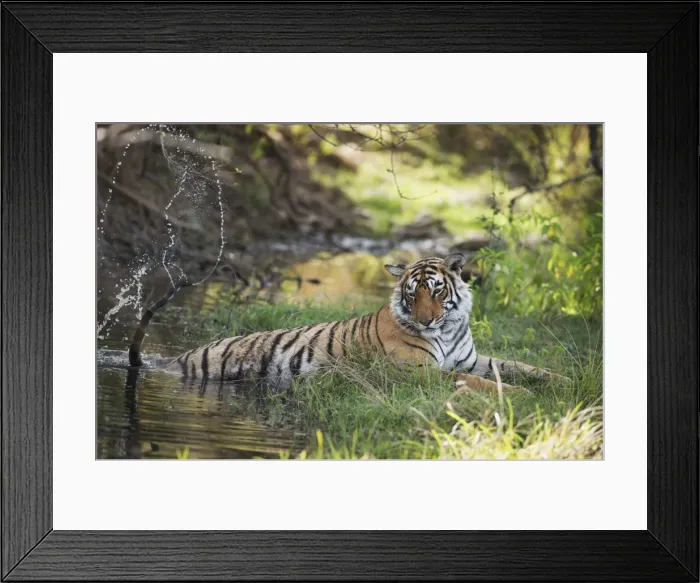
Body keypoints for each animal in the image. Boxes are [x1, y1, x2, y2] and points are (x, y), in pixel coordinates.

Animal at [128, 253, 564, 392]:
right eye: (412, 294)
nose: (425, 321)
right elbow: (479, 382)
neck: (448, 327)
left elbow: (515, 366)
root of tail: (175, 359)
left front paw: (561, 381)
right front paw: (520, 396)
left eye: (437, 291)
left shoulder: (471, 358)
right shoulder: (418, 371)